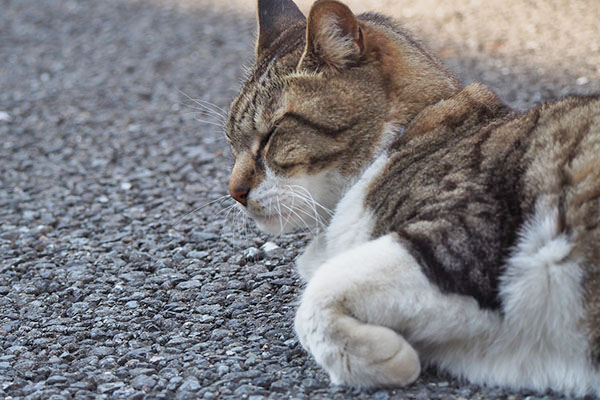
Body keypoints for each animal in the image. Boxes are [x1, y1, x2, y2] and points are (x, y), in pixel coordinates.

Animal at [223, 0, 600, 396]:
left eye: (271, 134)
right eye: (231, 141)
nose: (234, 192)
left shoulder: (459, 236)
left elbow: (316, 294)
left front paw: (386, 359)